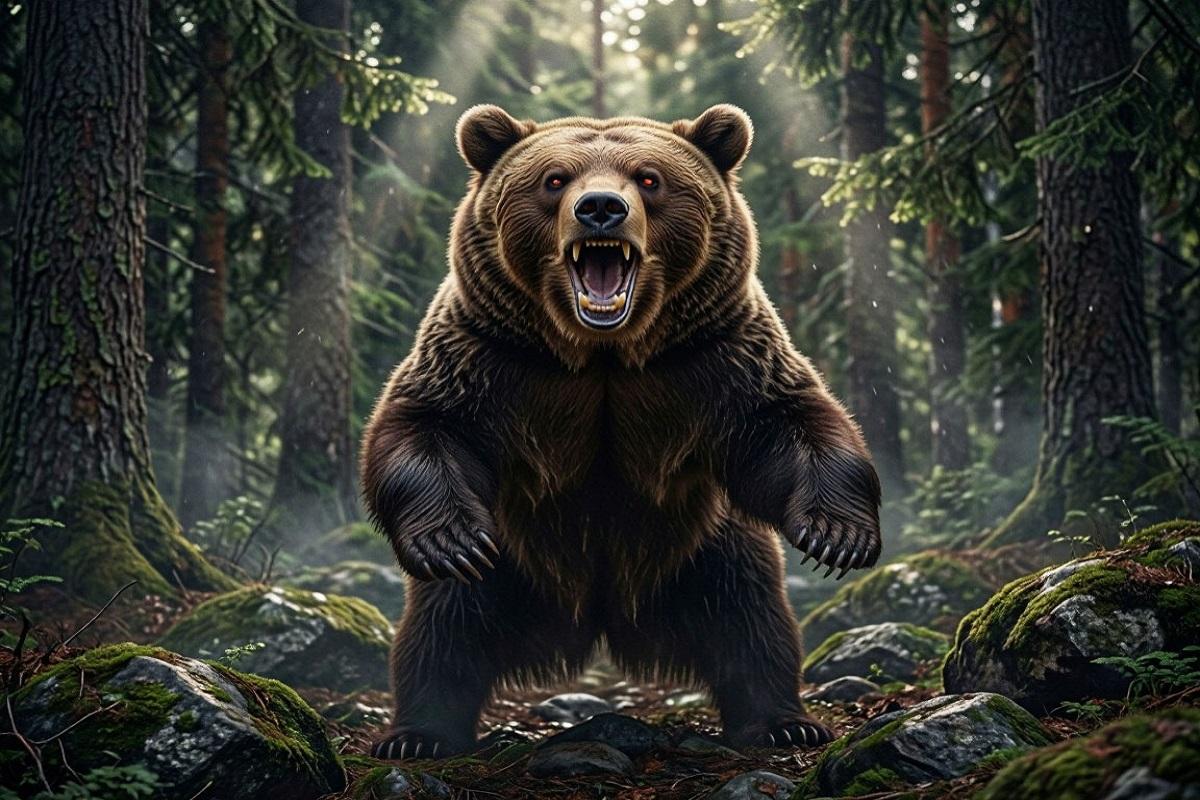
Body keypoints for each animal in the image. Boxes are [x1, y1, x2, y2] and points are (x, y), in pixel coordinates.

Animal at [361, 104, 883, 759]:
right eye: (554, 179)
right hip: (508, 560)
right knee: (443, 630)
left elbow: (787, 419)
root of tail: (599, 617)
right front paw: (449, 538)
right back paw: (419, 735)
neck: (602, 352)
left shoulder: (716, 355)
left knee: (752, 623)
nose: (601, 207)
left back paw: (781, 721)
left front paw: (839, 535)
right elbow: (426, 423)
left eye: (649, 178)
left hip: (708, 548)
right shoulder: (489, 353)